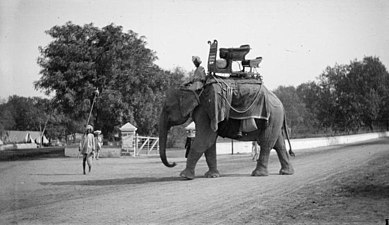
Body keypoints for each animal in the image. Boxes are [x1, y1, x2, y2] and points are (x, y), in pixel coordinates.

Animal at [158, 77, 294, 179]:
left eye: (167, 108)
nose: (174, 163)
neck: (192, 89)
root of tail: (281, 103)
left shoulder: (205, 111)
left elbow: (204, 140)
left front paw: (184, 176)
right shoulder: (209, 112)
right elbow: (209, 142)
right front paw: (212, 176)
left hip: (273, 116)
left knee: (266, 142)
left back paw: (258, 174)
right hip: (275, 119)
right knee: (279, 144)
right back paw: (286, 172)